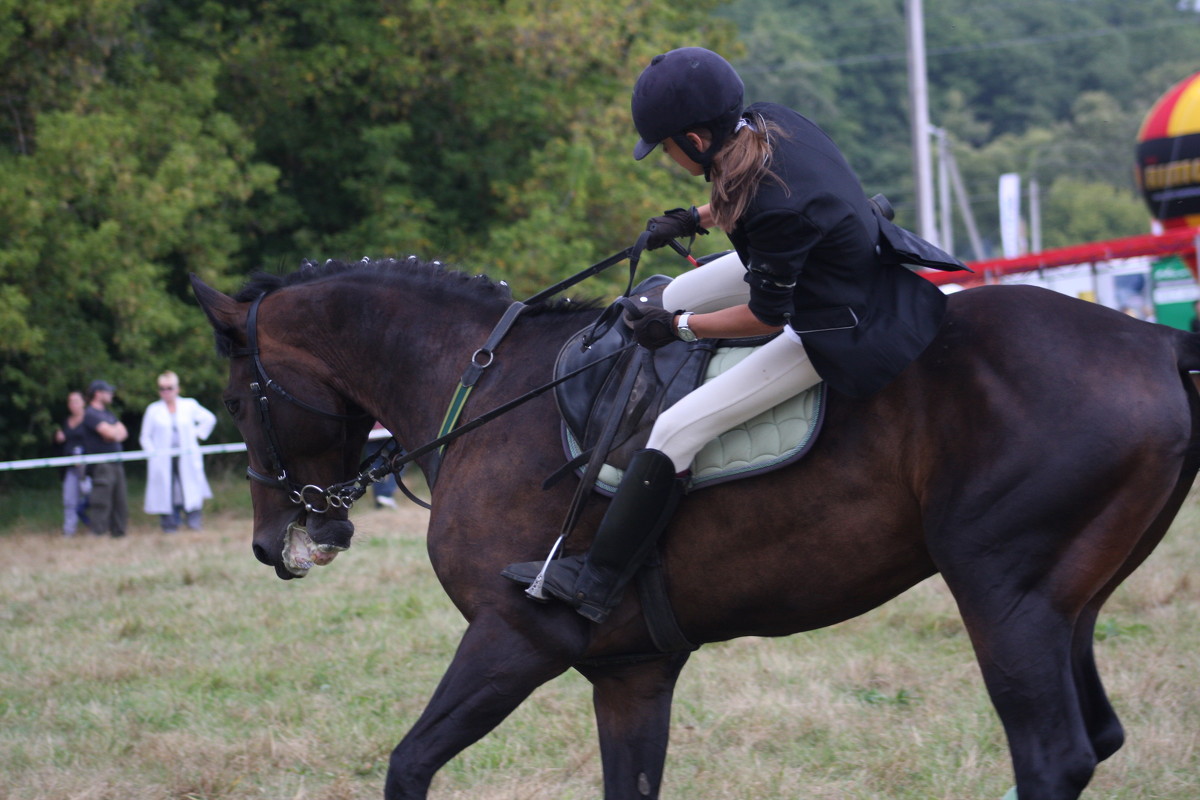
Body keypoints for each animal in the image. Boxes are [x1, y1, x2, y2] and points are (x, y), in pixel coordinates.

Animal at [189, 257, 1200, 800]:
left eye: (239, 401)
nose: (275, 544)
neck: (485, 389)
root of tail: (1154, 340)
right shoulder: (632, 672)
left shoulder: (517, 638)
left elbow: (407, 765)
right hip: (1065, 606)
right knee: (1093, 738)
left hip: (1003, 596)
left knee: (1052, 755)